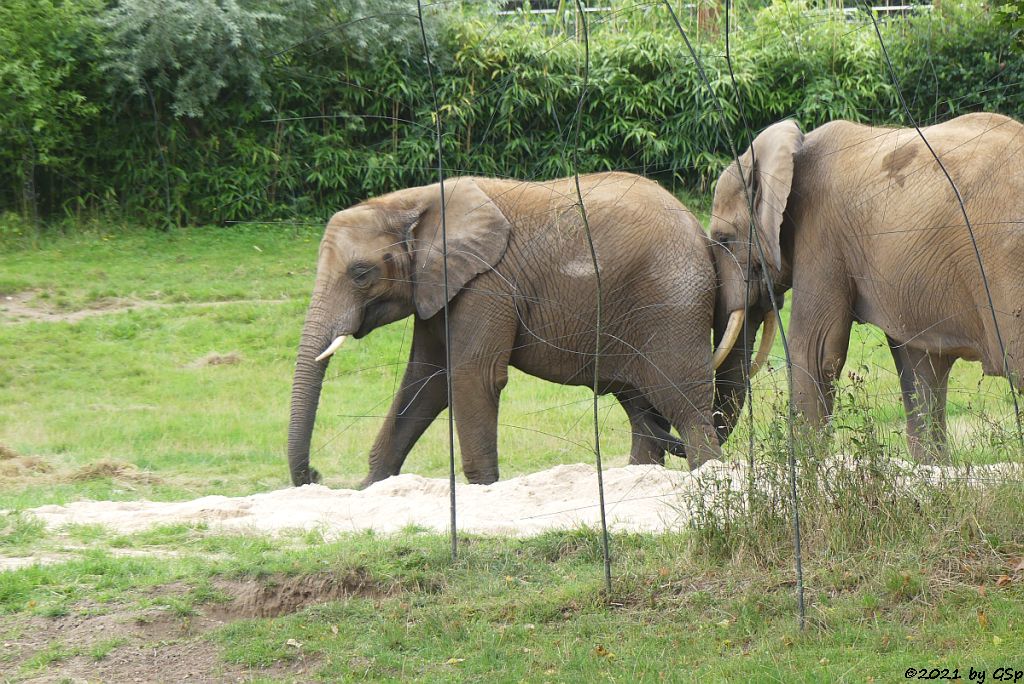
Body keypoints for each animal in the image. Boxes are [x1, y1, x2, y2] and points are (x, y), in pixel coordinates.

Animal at [284, 174, 765, 489]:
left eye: (361, 273)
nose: (314, 475)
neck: (411, 202)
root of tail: (702, 235)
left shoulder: (487, 283)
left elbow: (471, 377)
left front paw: (483, 490)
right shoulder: (440, 288)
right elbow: (426, 381)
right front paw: (372, 486)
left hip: (670, 304)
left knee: (682, 404)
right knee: (641, 408)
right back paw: (638, 477)